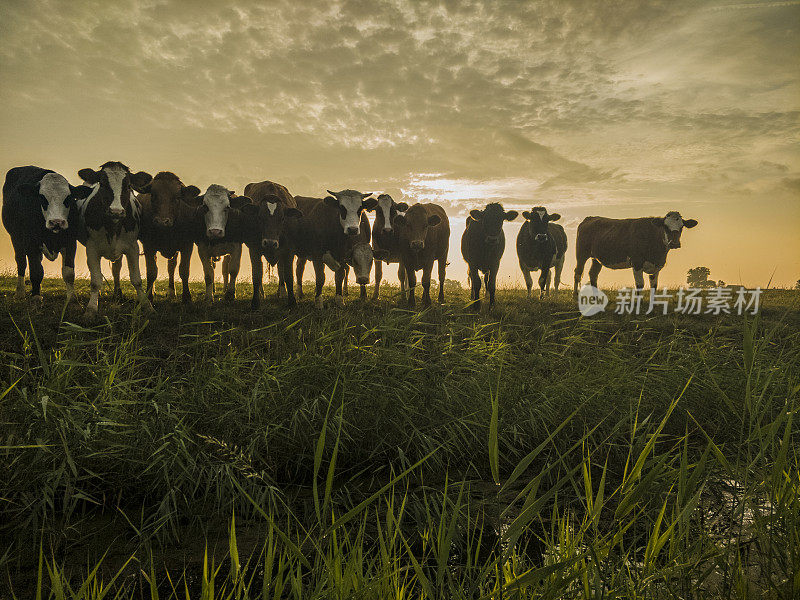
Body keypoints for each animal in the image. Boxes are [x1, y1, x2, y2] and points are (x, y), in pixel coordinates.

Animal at [2, 165, 95, 302]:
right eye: (42, 198)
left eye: (68, 198)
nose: (57, 222)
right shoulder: (31, 242)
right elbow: (36, 270)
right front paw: (36, 297)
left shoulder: (70, 242)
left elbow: (68, 272)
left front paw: (72, 299)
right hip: (15, 237)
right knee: (21, 262)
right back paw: (20, 292)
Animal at [77, 159, 155, 318]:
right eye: (102, 183)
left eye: (128, 186)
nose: (116, 211)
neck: (112, 227)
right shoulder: (91, 248)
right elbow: (95, 281)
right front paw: (91, 309)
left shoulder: (132, 247)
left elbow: (137, 280)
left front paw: (147, 306)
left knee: (116, 269)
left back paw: (118, 294)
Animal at [134, 173, 200, 304]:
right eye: (153, 195)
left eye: (177, 198)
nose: (162, 221)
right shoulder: (149, 245)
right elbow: (151, 271)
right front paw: (149, 297)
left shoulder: (187, 245)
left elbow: (184, 270)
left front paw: (186, 297)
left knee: (171, 267)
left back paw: (171, 292)